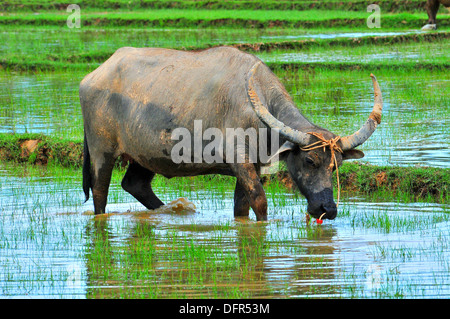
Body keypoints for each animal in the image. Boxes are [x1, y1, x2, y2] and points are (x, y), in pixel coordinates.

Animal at [79, 46, 382, 222]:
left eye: (336, 165)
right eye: (309, 161)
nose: (327, 209)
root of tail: (92, 77)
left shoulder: (250, 166)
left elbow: (241, 207)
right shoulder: (241, 162)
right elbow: (260, 203)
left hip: (145, 155)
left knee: (135, 184)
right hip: (101, 151)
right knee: (100, 192)